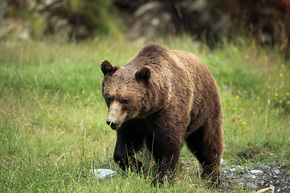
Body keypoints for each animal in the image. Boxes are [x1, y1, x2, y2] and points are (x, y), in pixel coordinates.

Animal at [100, 43, 224, 185]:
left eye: (125, 100)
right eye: (109, 97)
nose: (111, 122)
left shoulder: (167, 111)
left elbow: (168, 145)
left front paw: (161, 180)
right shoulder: (133, 120)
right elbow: (125, 143)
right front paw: (137, 166)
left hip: (205, 109)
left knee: (207, 141)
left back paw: (212, 175)